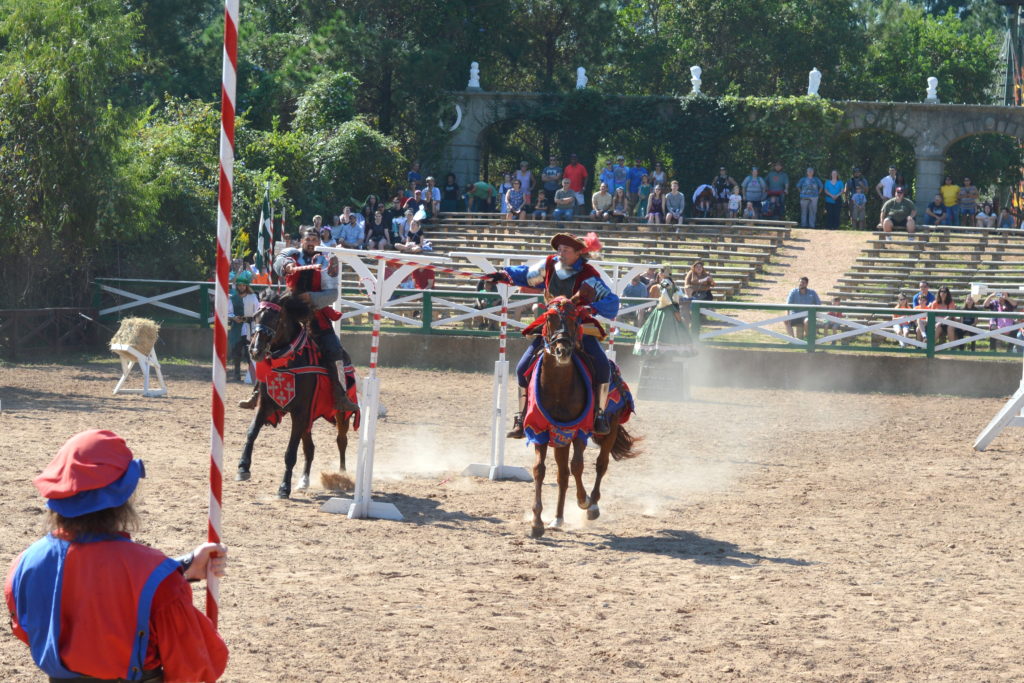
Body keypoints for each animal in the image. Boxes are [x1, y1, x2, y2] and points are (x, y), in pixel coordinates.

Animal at [236, 286, 356, 497]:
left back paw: (342, 475)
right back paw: (304, 480)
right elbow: (251, 432)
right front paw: (243, 467)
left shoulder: (299, 412)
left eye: (276, 318)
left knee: (341, 441)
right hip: (308, 419)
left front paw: (284, 487)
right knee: (310, 448)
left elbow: (290, 453)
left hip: (340, 415)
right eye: (256, 316)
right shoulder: (267, 406)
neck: (289, 359)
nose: (255, 351)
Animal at [524, 299, 634, 540]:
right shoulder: (540, 431)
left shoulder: (580, 432)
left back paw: (593, 505)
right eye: (549, 318)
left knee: (600, 465)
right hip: (560, 440)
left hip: (609, 429)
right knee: (563, 476)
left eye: (576, 319)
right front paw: (536, 523)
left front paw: (584, 501)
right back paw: (558, 518)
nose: (562, 350)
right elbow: (539, 470)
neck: (558, 387)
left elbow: (578, 466)